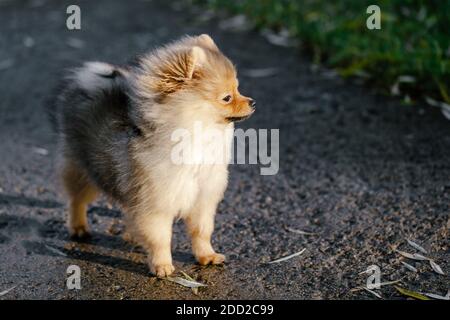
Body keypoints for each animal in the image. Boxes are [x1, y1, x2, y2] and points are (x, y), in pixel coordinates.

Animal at [51, 34, 255, 276]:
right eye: (226, 98)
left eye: (238, 89)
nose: (252, 102)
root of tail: (86, 83)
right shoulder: (156, 203)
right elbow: (160, 238)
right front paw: (162, 266)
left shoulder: (202, 198)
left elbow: (202, 231)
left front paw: (207, 255)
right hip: (83, 169)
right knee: (77, 199)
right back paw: (79, 227)